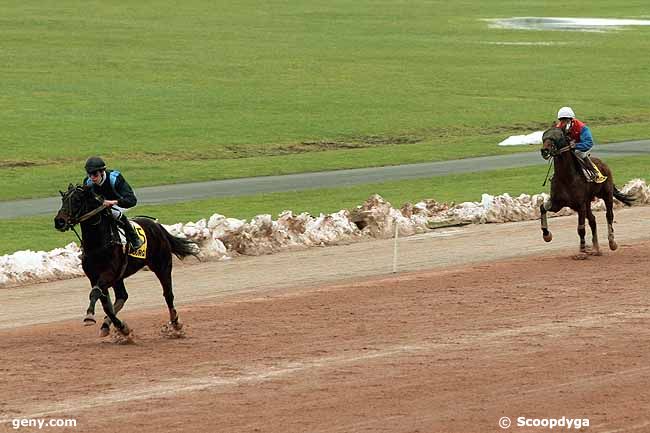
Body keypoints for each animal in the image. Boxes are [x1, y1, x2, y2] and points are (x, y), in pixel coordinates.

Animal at [53, 184, 197, 336]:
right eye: (63, 199)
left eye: (77, 200)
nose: (59, 221)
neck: (97, 244)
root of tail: (157, 226)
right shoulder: (95, 276)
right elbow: (106, 305)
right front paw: (120, 327)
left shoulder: (108, 273)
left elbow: (96, 293)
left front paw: (89, 316)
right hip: (119, 277)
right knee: (122, 296)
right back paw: (108, 324)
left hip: (162, 265)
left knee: (168, 294)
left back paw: (176, 323)